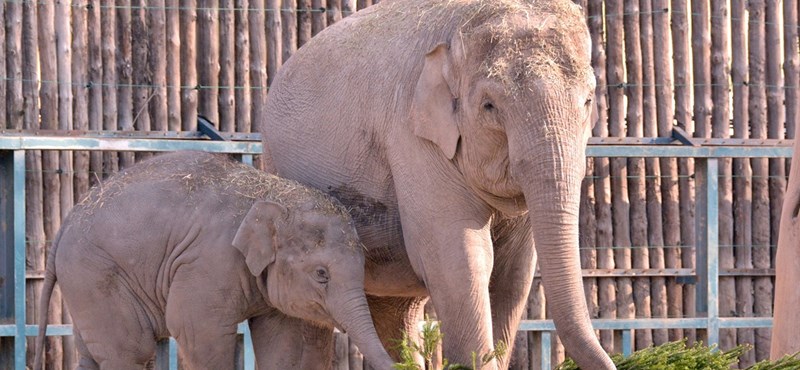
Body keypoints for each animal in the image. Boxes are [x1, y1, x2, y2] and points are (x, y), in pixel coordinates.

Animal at [35, 151, 396, 370]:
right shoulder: (209, 262)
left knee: (92, 352)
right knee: (130, 350)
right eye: (321, 274)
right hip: (94, 274)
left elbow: (283, 342)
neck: (271, 194)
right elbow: (196, 329)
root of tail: (67, 221)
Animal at [260, 1, 612, 368]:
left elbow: (513, 274)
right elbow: (460, 261)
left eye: (589, 101)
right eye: (489, 106)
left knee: (398, 312)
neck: (460, 27)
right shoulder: (413, 139)